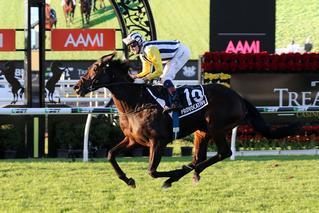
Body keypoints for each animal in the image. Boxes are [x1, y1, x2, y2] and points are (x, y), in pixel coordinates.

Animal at [74, 53, 302, 188]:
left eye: (95, 68)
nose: (77, 87)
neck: (136, 103)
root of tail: (238, 97)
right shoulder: (132, 140)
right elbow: (110, 155)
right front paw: (129, 180)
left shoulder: (158, 141)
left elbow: (151, 171)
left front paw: (172, 172)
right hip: (202, 131)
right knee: (199, 158)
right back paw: (187, 173)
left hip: (216, 127)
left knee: (223, 153)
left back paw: (178, 175)